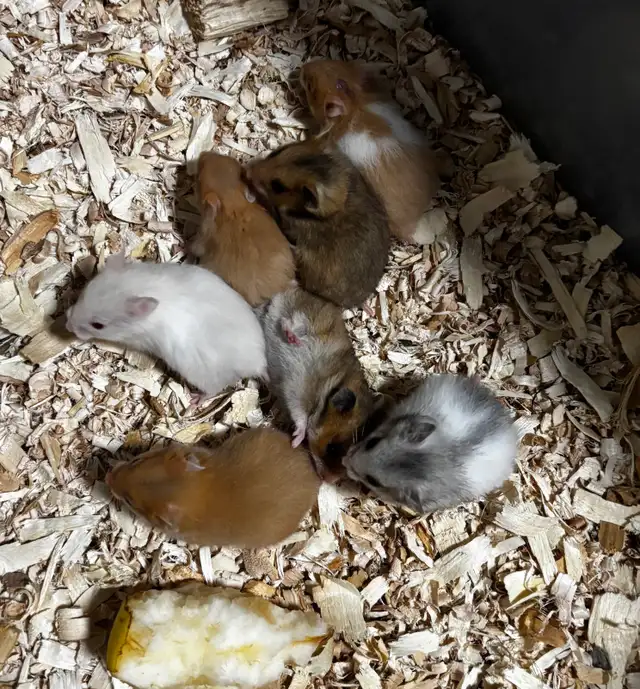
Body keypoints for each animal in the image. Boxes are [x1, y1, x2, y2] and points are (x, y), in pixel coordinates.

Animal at [66, 255, 267, 397]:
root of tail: (259, 363)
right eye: (82, 294)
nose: (67, 326)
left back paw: (195, 400)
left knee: (215, 390)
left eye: (98, 325)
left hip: (202, 375)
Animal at [260, 286, 373, 475]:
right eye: (332, 448)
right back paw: (292, 338)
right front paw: (295, 441)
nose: (325, 479)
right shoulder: (298, 390)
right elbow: (301, 420)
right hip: (305, 313)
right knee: (288, 319)